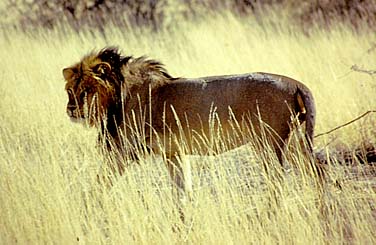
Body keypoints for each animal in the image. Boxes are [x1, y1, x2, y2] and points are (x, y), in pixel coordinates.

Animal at [62, 47, 318, 193]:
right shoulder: (173, 152)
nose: (70, 109)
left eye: (86, 90)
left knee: (278, 180)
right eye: (69, 90)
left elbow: (100, 183)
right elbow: (182, 190)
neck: (119, 95)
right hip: (294, 142)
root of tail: (296, 83)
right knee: (317, 171)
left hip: (269, 143)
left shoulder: (124, 151)